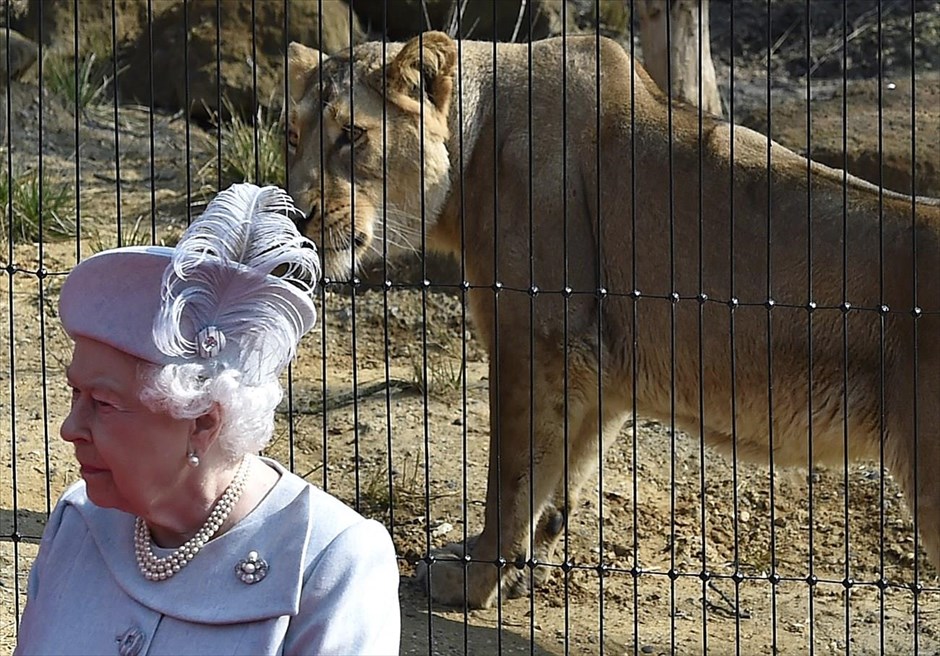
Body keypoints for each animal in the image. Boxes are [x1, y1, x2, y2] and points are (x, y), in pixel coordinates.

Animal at [285, 31, 940, 609]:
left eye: (351, 134)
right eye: (292, 136)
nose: (296, 212)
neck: (473, 153)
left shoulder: (535, 342)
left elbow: (510, 479)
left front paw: (472, 580)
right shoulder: (596, 367)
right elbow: (559, 477)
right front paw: (523, 567)